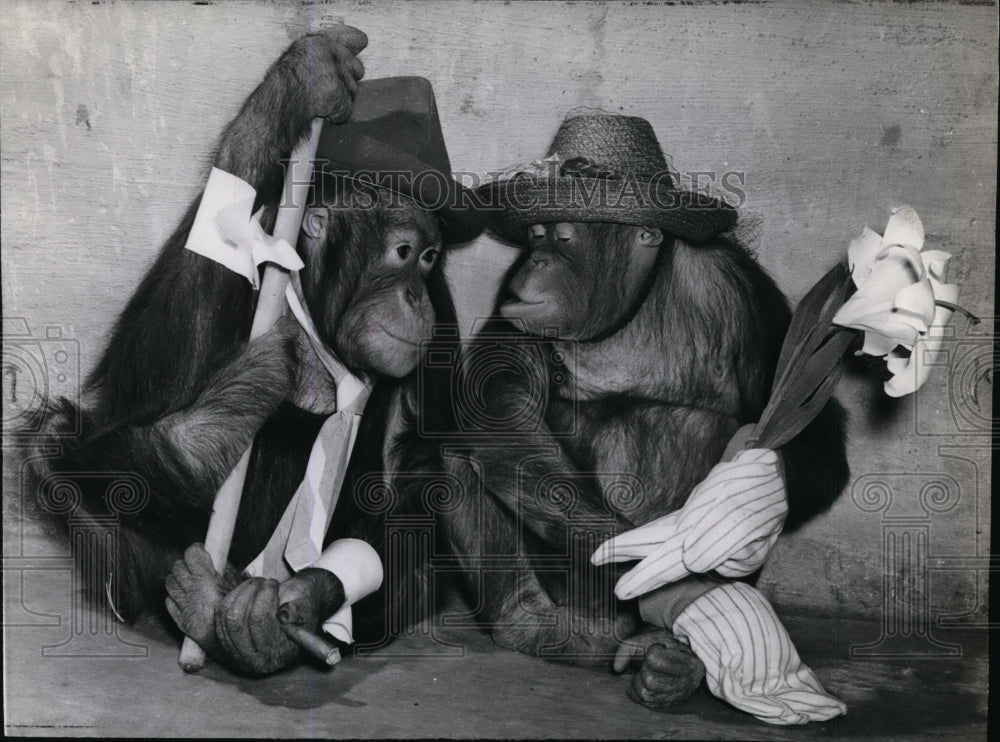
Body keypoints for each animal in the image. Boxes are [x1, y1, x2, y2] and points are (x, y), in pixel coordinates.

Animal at [31, 27, 484, 680]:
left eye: (429, 258)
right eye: (402, 251)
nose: (413, 294)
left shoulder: (443, 319)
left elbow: (417, 473)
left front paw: (298, 604)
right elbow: (139, 390)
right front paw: (298, 85)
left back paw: (234, 615)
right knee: (59, 446)